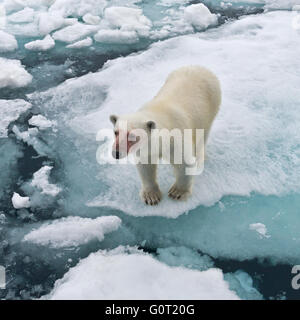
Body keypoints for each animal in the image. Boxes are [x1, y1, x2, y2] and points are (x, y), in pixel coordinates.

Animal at [110, 65, 220, 205]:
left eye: (132, 136)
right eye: (116, 132)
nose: (116, 153)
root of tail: (200, 67)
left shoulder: (177, 139)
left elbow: (184, 163)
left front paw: (177, 192)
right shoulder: (147, 148)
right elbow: (146, 166)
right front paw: (151, 196)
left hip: (211, 108)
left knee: (202, 137)